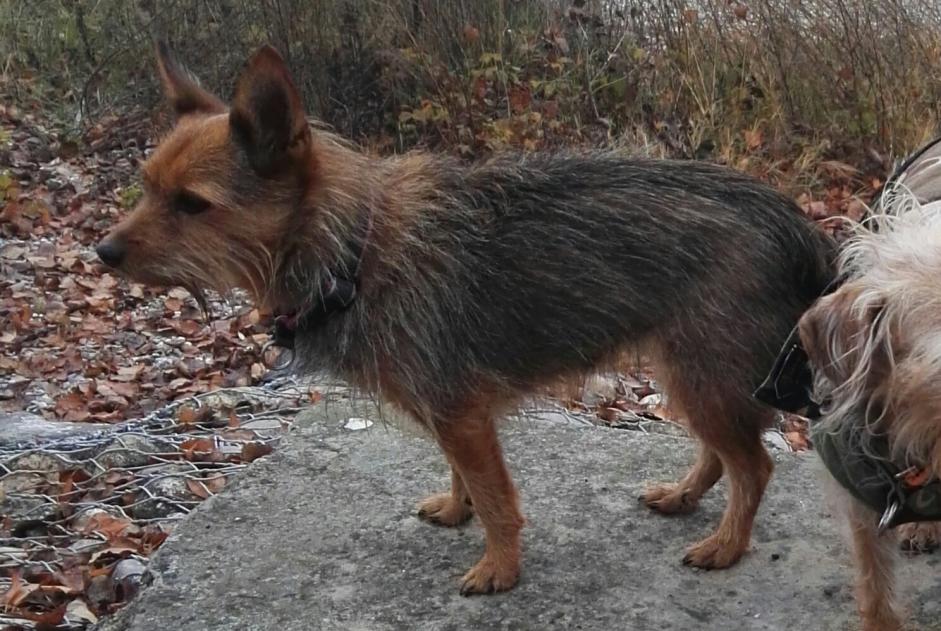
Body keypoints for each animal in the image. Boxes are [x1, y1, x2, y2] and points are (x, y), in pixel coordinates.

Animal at [95, 47, 828, 596]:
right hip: (691, 371)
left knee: (754, 466)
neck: (353, 250)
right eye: (146, 184)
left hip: (700, 370)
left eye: (193, 204)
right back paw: (683, 495)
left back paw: (726, 545)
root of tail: (792, 221)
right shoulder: (448, 412)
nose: (102, 252)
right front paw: (455, 510)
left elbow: (497, 498)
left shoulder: (461, 414)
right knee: (722, 453)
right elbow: (461, 476)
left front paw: (500, 567)